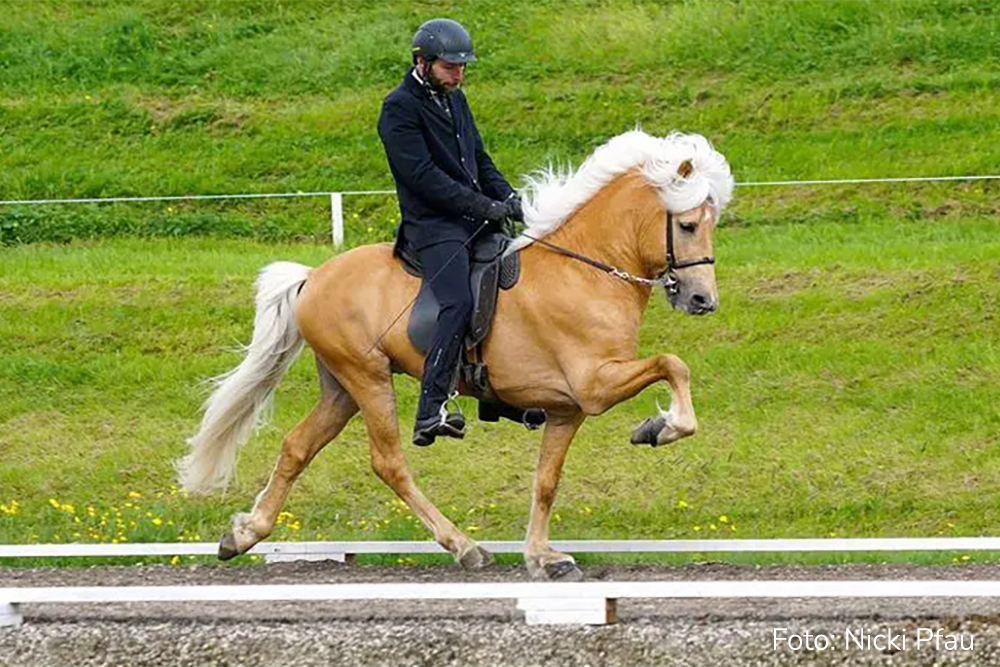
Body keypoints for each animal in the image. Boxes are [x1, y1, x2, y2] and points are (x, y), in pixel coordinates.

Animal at [178, 129, 736, 580]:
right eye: (688, 225)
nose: (702, 300)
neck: (587, 270)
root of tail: (314, 276)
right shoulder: (595, 384)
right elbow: (673, 363)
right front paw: (660, 428)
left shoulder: (566, 409)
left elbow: (546, 482)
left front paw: (542, 557)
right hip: (367, 378)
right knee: (389, 462)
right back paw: (464, 546)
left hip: (341, 385)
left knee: (297, 446)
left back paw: (243, 534)